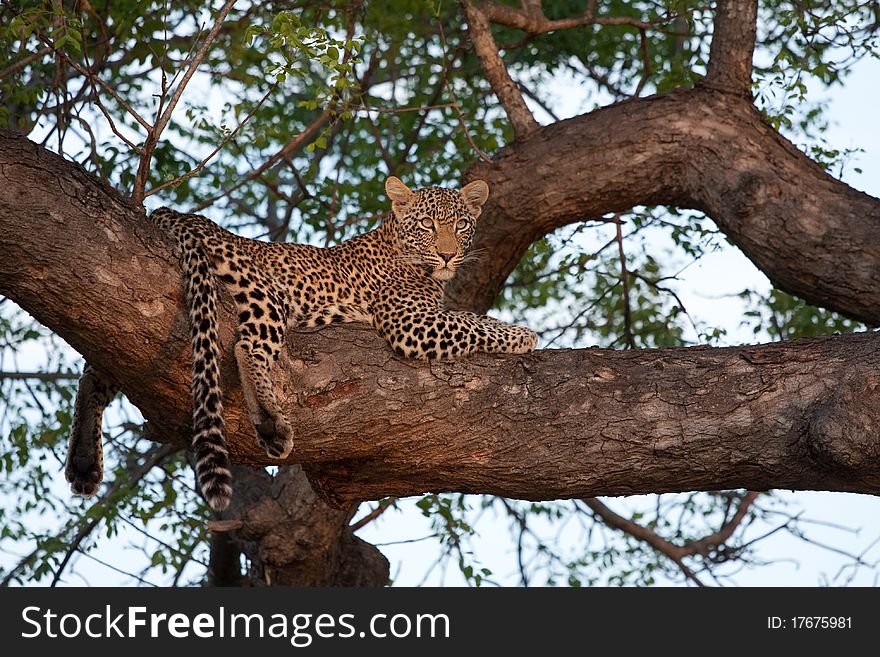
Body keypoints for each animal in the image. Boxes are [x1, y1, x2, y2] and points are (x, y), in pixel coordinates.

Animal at [65, 177, 536, 510]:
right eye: (426, 225)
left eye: (461, 225)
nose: (447, 255)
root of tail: (175, 213)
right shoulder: (410, 323)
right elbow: (471, 322)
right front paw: (524, 335)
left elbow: (467, 317)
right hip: (264, 293)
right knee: (247, 346)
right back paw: (272, 421)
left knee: (95, 372)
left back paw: (84, 461)